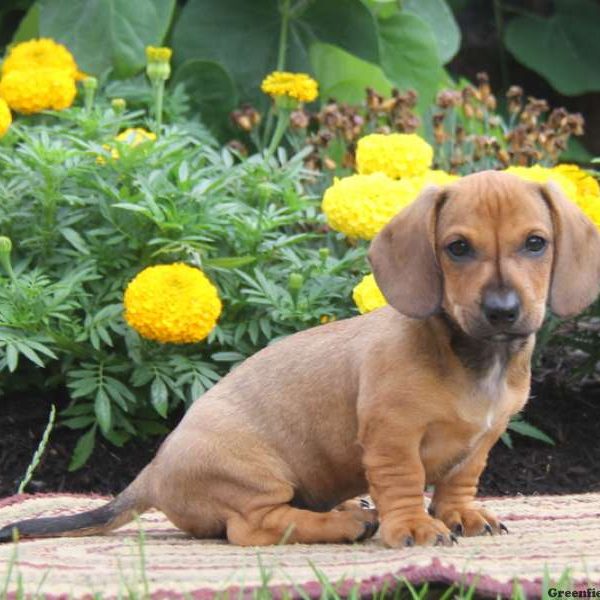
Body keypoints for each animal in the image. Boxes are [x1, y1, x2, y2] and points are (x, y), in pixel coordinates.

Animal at [1, 171, 600, 548]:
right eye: (458, 248)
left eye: (536, 242)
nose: (502, 311)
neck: (476, 360)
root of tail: (151, 474)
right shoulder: (392, 438)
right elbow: (405, 482)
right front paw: (414, 527)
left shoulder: (481, 440)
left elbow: (460, 478)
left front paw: (460, 515)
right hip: (256, 475)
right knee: (254, 527)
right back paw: (344, 525)